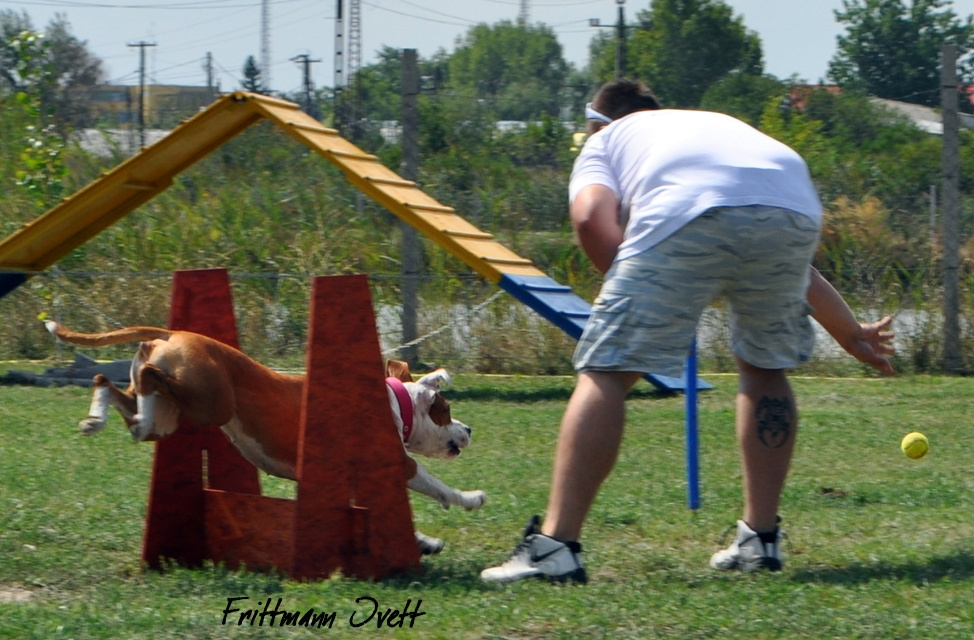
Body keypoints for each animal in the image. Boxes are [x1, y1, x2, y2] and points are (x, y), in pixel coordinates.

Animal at [45, 322, 488, 552]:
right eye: (445, 410)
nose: (469, 429)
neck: (396, 404)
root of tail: (170, 334)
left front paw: (423, 541)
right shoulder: (401, 464)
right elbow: (437, 486)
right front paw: (470, 498)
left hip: (166, 417)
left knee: (116, 393)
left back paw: (95, 418)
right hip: (211, 402)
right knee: (149, 385)